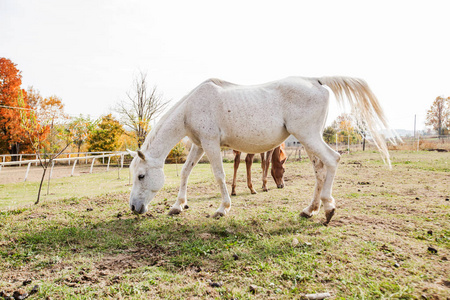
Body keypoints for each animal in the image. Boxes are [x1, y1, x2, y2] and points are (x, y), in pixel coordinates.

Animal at [127, 76, 394, 224]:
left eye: (141, 176)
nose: (133, 208)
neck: (192, 105)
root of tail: (316, 81)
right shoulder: (199, 145)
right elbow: (185, 172)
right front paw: (177, 206)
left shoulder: (211, 143)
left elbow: (219, 176)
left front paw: (222, 209)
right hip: (309, 139)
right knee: (320, 170)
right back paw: (310, 210)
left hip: (308, 136)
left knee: (333, 159)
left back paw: (328, 208)